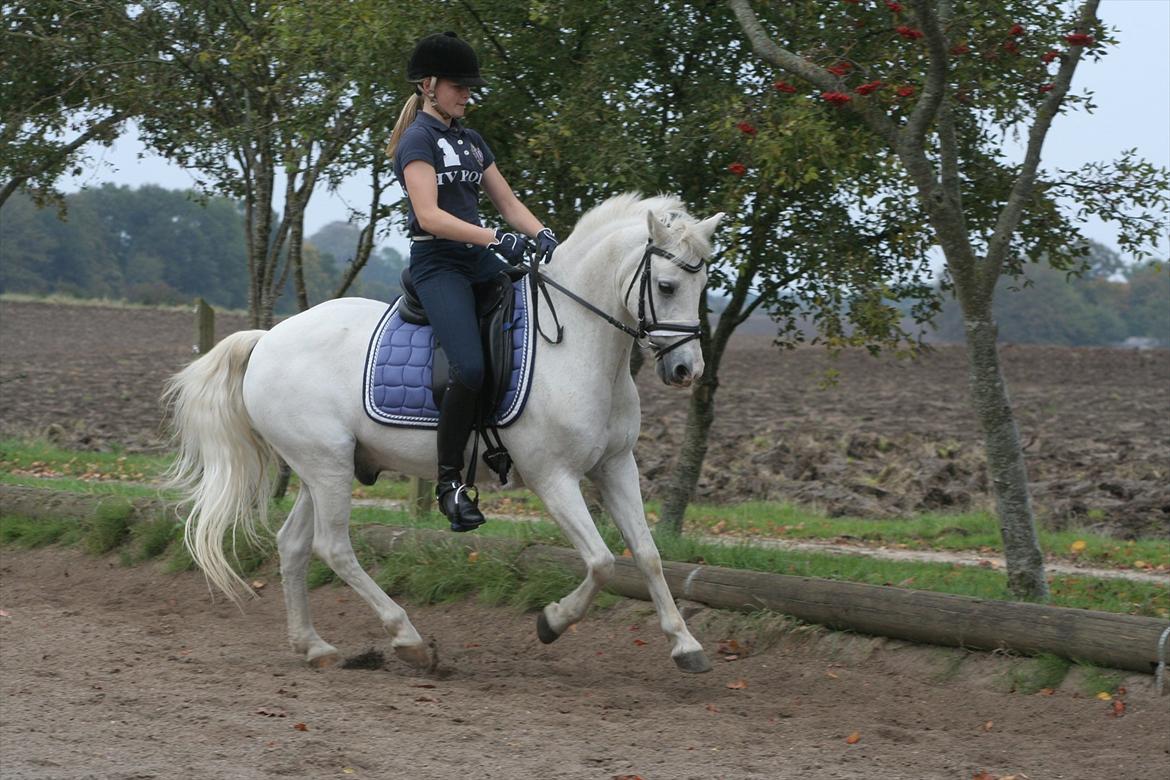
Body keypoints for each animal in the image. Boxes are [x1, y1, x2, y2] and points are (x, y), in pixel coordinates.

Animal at [164, 192, 724, 674]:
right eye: (667, 286)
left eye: (703, 289)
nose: (686, 370)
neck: (576, 343)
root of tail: (268, 338)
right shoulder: (553, 477)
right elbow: (602, 562)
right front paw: (551, 621)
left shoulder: (615, 466)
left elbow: (647, 556)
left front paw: (685, 644)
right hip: (326, 467)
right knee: (333, 547)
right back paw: (407, 639)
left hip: (323, 468)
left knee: (294, 545)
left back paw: (315, 646)